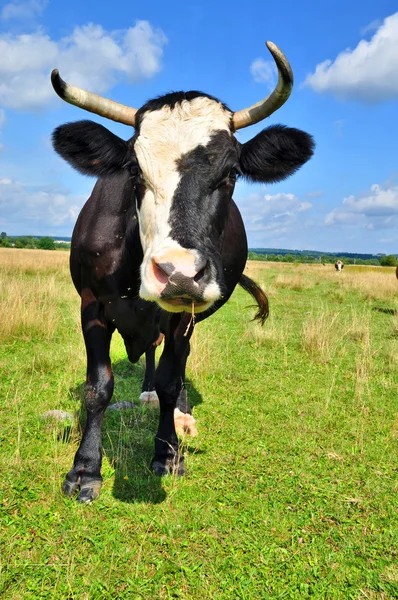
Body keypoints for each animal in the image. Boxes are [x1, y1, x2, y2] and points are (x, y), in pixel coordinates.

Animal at [52, 41, 314, 502]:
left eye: (231, 173)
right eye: (134, 170)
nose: (178, 273)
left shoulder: (182, 319)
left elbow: (172, 380)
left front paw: (168, 452)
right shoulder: (91, 305)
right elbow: (98, 387)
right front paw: (84, 470)